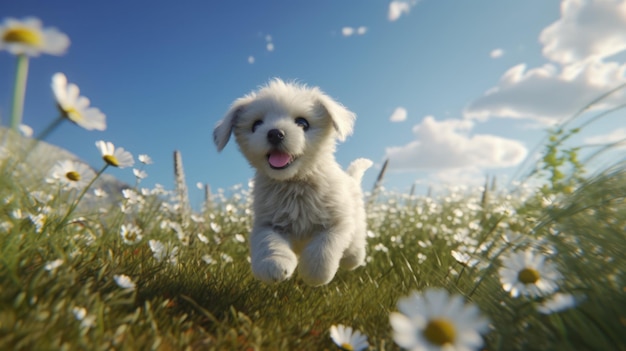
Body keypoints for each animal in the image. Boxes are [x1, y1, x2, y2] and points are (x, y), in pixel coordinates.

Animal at [214, 79, 370, 286]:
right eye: (256, 124)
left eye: (302, 123)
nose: (274, 133)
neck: (294, 182)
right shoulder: (267, 223)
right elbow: (269, 242)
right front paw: (274, 265)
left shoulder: (337, 223)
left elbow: (324, 247)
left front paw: (314, 274)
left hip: (356, 223)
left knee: (354, 248)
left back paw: (353, 259)